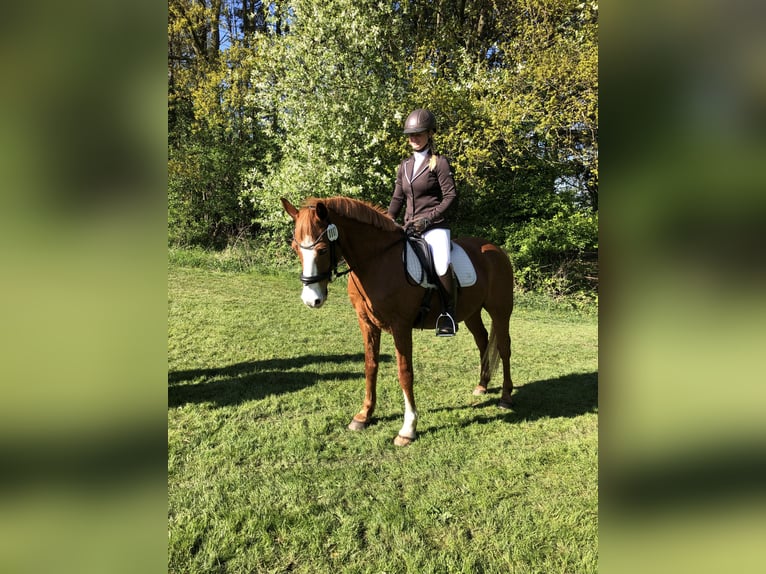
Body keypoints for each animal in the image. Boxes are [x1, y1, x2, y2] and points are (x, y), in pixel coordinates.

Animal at [281, 196, 514, 446]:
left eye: (323, 250)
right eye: (295, 248)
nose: (311, 299)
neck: (377, 262)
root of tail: (496, 249)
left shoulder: (401, 326)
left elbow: (405, 372)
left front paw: (408, 429)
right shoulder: (366, 323)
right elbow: (370, 366)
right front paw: (364, 415)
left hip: (501, 311)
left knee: (503, 348)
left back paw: (505, 397)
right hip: (471, 312)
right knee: (482, 341)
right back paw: (482, 385)